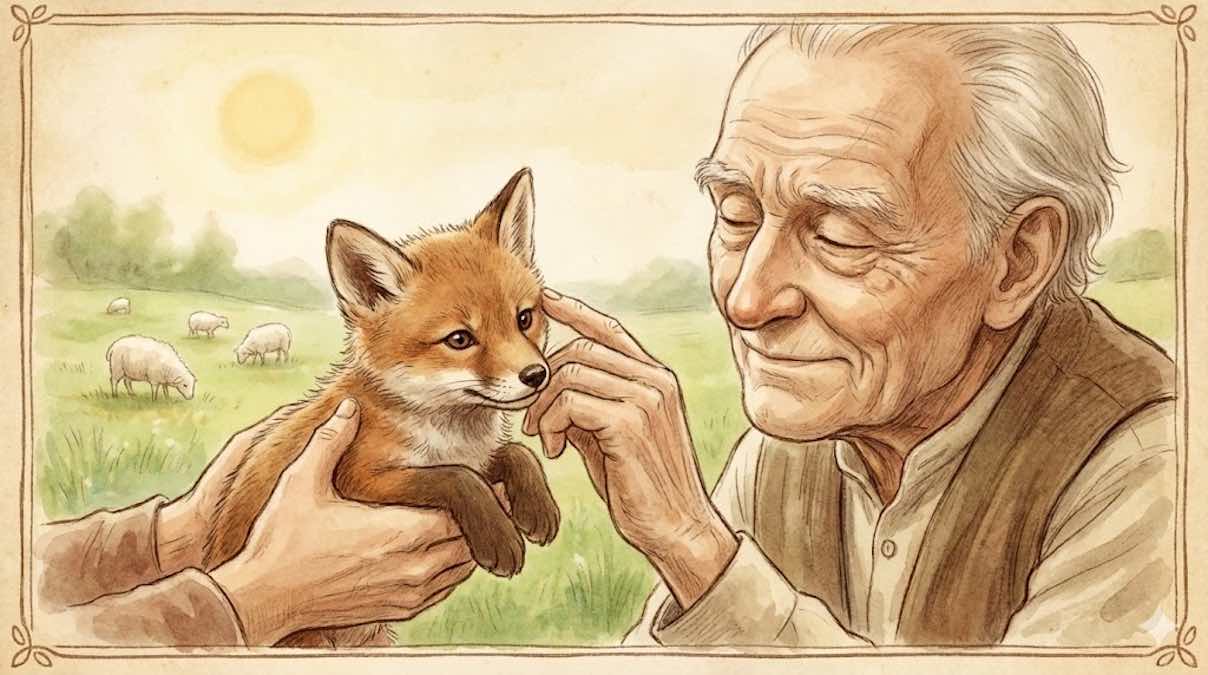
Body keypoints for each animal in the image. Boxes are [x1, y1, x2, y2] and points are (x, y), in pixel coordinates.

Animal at [200, 168, 560, 647]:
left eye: (524, 319)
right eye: (460, 339)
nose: (536, 375)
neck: (447, 429)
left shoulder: (482, 457)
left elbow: (517, 454)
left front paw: (539, 508)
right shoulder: (357, 477)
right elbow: (454, 478)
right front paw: (499, 538)